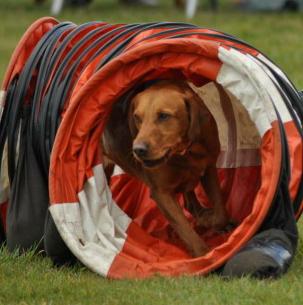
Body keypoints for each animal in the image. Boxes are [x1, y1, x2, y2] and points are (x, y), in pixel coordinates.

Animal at [102, 79, 228, 255]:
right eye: (137, 117)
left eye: (164, 116)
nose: (138, 150)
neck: (184, 152)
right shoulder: (161, 193)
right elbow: (185, 228)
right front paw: (204, 255)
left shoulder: (209, 168)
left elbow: (220, 213)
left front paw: (209, 220)